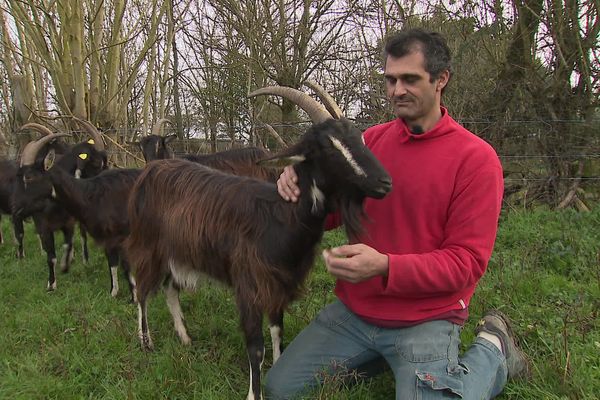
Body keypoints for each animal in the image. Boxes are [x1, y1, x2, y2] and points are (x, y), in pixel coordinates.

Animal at [124, 86, 392, 400]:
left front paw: (278, 364)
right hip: (149, 246)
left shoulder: (278, 283)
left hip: (177, 252)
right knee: (142, 291)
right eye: (328, 146)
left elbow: (277, 330)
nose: (384, 182)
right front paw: (255, 393)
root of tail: (150, 170)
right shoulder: (249, 287)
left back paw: (185, 336)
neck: (279, 216)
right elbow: (256, 347)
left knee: (169, 288)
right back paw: (146, 342)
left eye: (360, 137)